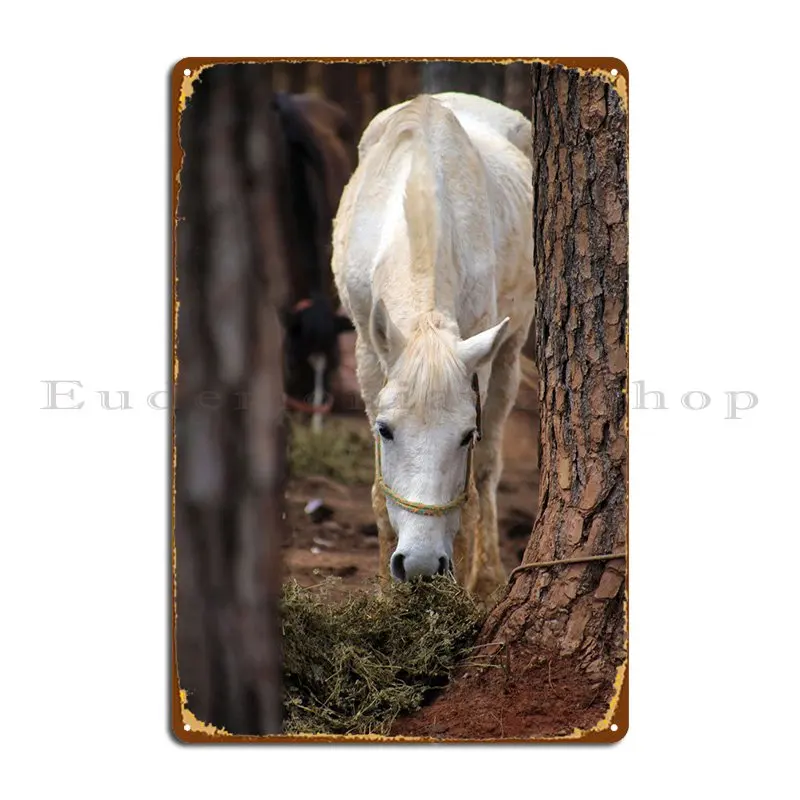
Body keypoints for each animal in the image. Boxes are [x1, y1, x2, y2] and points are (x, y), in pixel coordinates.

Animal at [331, 92, 534, 599]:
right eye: (385, 430)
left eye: (465, 435)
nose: (421, 565)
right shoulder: (367, 355)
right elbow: (378, 493)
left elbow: (473, 486)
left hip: (508, 353)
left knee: (490, 469)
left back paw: (488, 576)